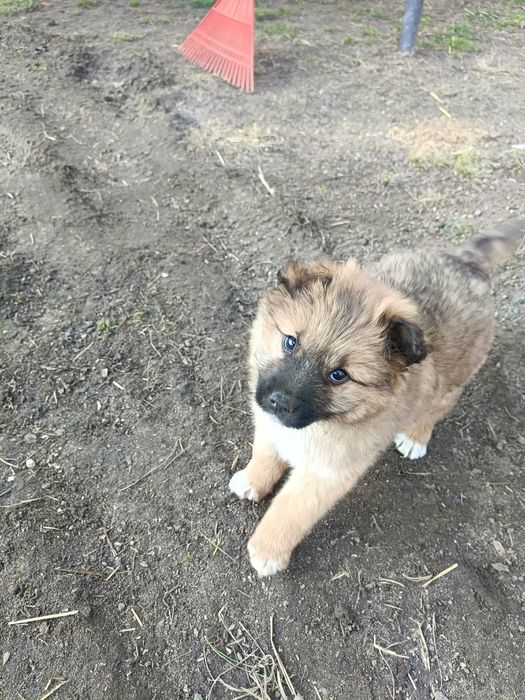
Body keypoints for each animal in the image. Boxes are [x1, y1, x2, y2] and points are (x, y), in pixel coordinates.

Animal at [230, 221, 523, 576]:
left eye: (339, 375)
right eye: (290, 342)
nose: (279, 403)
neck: (327, 421)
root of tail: (466, 262)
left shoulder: (327, 473)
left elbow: (291, 510)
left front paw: (268, 550)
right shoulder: (269, 423)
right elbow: (264, 454)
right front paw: (252, 480)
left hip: (456, 375)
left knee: (439, 405)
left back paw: (416, 436)